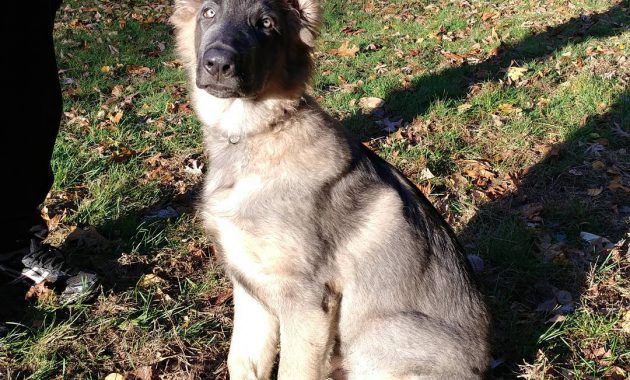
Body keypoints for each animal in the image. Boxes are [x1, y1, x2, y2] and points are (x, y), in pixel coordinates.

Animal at [173, 1, 494, 378]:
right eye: (208, 13)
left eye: (266, 24)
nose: (219, 63)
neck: (254, 134)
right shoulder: (250, 292)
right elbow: (242, 361)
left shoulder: (308, 302)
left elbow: (292, 371)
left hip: (375, 336)